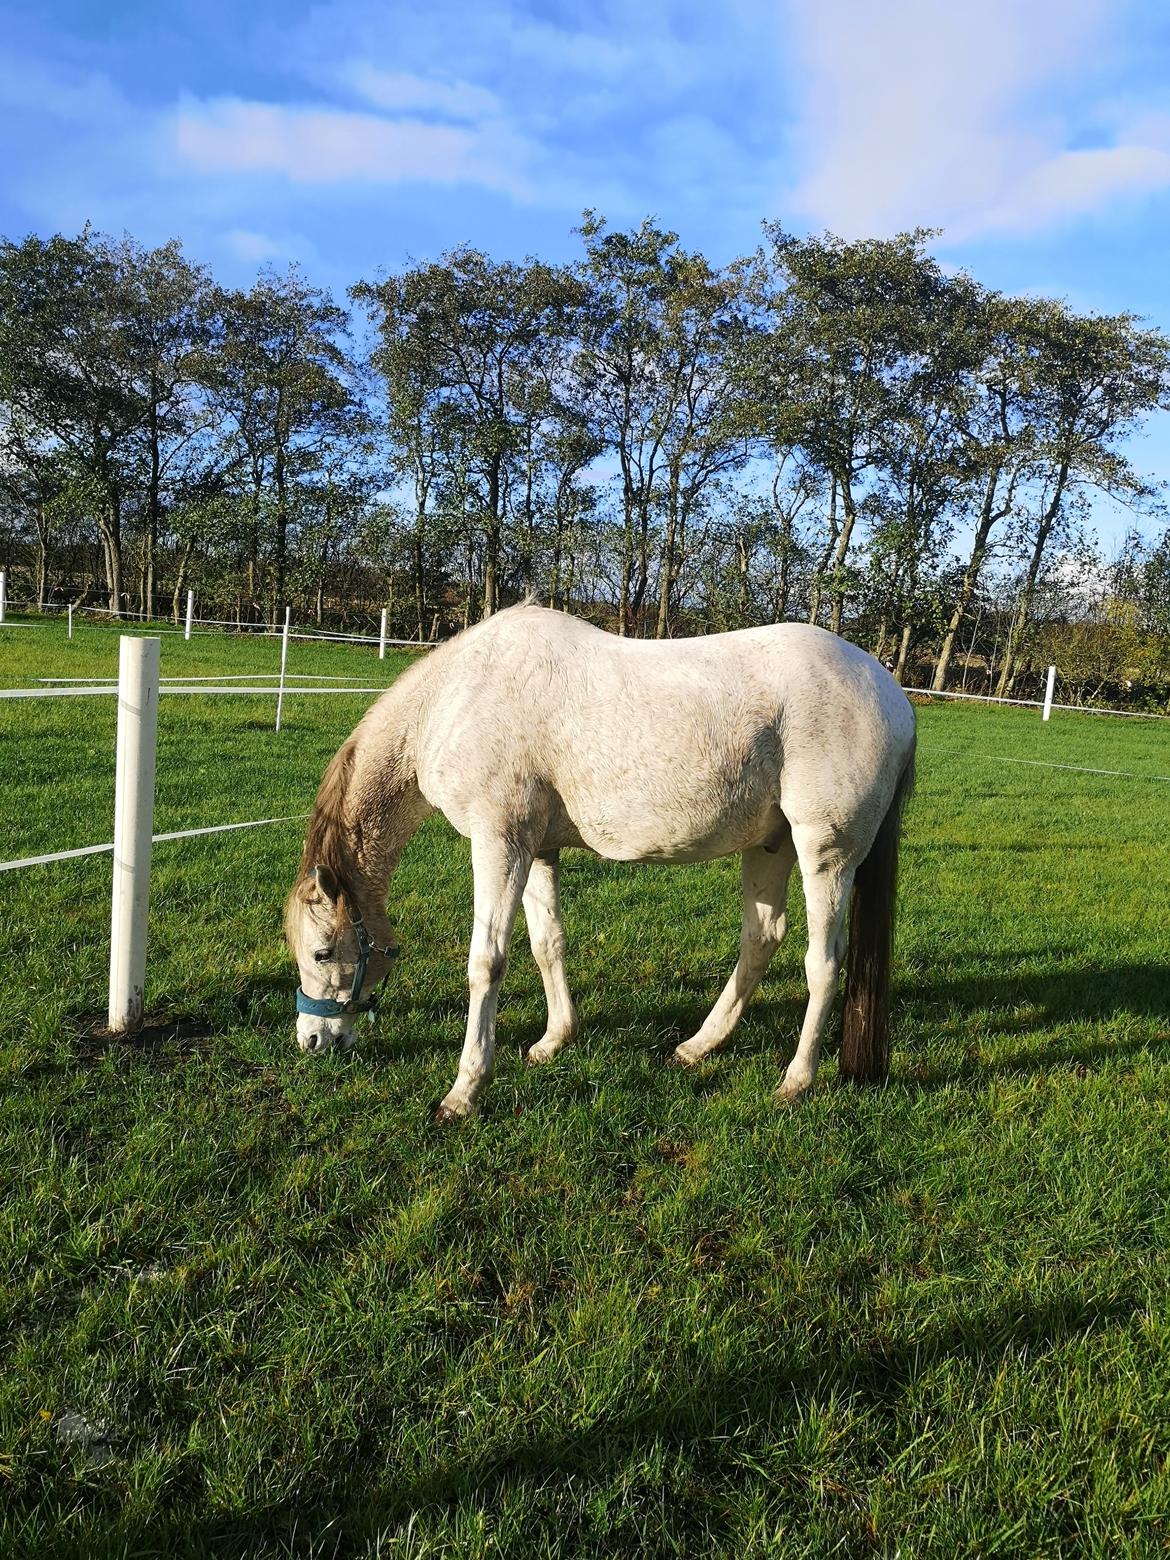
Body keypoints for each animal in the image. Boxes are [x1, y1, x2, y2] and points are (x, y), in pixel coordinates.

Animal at [283, 605, 917, 1123]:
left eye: (322, 952)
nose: (310, 1039)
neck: (457, 700)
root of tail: (896, 698)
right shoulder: (536, 849)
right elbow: (547, 944)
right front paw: (553, 1041)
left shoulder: (499, 841)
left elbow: (487, 962)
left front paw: (465, 1091)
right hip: (771, 845)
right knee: (761, 939)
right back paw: (697, 1047)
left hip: (825, 853)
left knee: (823, 962)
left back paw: (796, 1080)